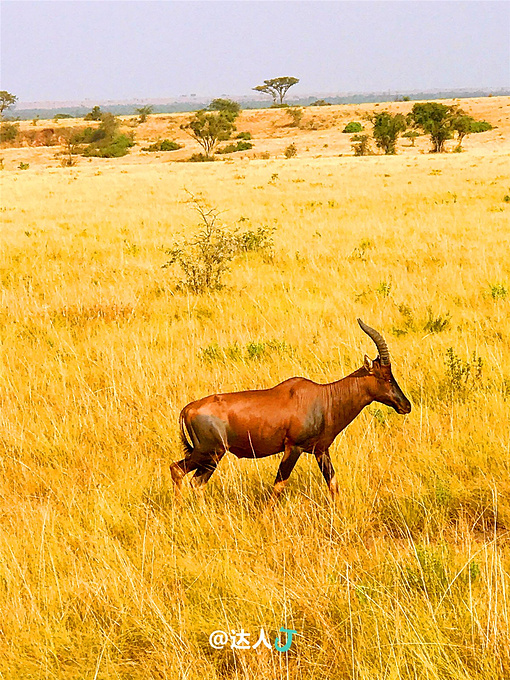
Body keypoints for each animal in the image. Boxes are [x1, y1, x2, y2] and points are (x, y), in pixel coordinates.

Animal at [171, 316, 410, 502]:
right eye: (386, 377)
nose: (406, 405)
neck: (323, 397)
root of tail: (188, 409)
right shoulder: (293, 448)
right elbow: (279, 484)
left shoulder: (321, 450)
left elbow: (333, 483)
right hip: (209, 452)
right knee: (181, 472)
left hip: (210, 456)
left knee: (194, 480)